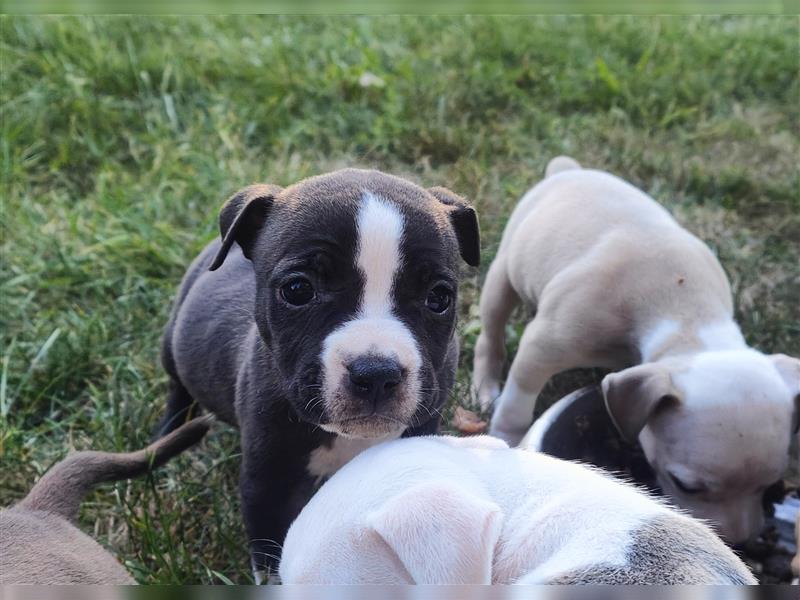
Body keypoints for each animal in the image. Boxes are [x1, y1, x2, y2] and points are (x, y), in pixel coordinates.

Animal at [159, 166, 478, 580]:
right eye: (298, 290)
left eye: (439, 298)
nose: (376, 373)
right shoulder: (268, 486)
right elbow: (271, 560)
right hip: (172, 342)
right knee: (178, 386)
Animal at [476, 157, 800, 548]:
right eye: (685, 485)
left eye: (770, 484)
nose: (736, 542)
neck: (687, 313)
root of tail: (567, 170)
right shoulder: (544, 346)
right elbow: (518, 403)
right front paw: (505, 440)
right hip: (504, 274)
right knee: (492, 330)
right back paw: (486, 386)